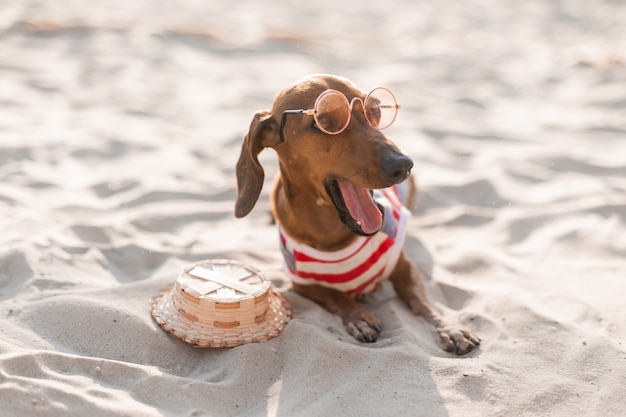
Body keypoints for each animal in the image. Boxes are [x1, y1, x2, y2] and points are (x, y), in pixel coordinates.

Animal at [234, 73, 478, 352]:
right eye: (323, 121)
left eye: (375, 109)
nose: (403, 164)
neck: (335, 236)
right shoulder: (301, 282)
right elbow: (333, 294)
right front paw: (358, 316)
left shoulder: (404, 265)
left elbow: (424, 304)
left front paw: (449, 328)